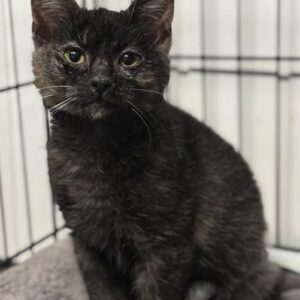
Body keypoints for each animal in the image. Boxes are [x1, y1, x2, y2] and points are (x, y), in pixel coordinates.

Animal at [31, 0, 282, 300]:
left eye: (129, 59)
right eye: (74, 55)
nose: (101, 81)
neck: (98, 146)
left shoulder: (167, 246)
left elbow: (157, 291)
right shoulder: (87, 243)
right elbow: (102, 290)